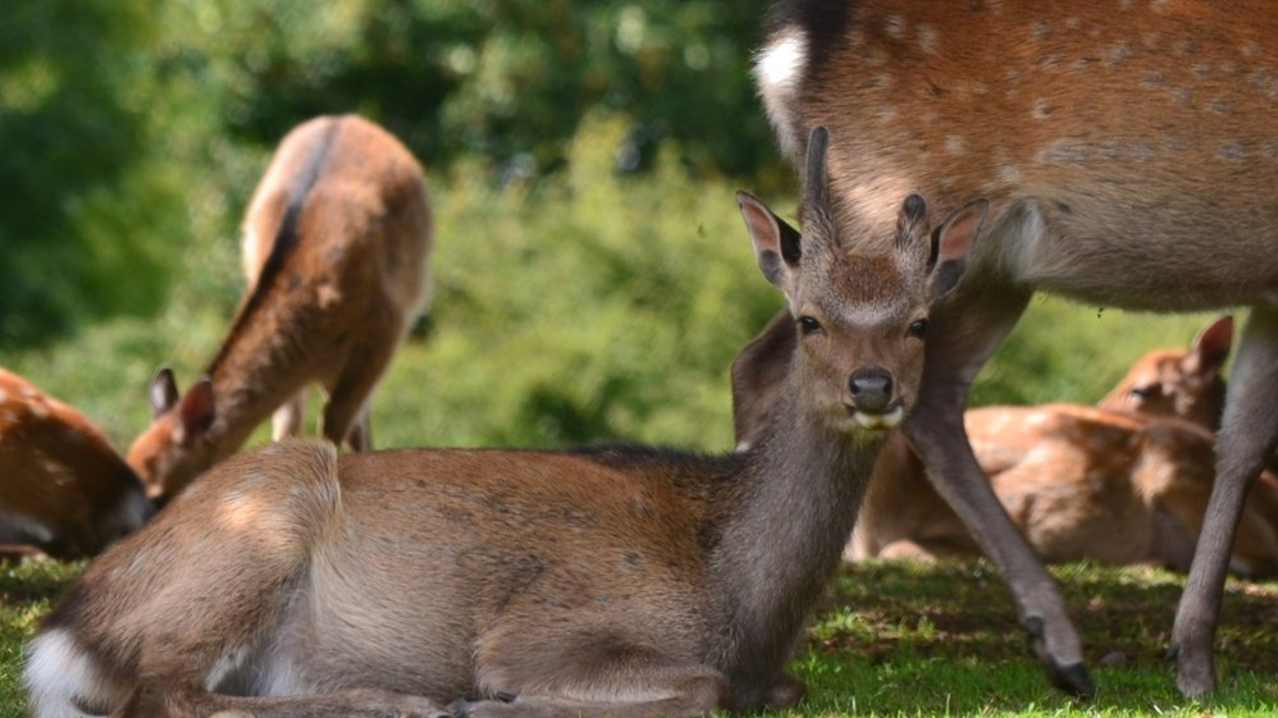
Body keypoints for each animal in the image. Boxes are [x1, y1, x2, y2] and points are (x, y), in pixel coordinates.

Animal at [754, 0, 1278, 696]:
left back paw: (1061, 649)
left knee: (927, 400)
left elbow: (1243, 443)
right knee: (779, 365)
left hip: (984, 270)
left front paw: (1192, 659)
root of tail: (788, 53)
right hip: (886, 215)